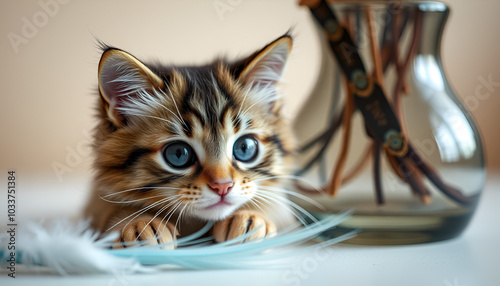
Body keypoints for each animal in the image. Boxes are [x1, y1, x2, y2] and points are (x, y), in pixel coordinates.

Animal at [84, 34, 296, 248]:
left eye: (244, 148)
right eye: (178, 154)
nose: (223, 187)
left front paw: (250, 216)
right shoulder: (95, 201)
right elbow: (109, 208)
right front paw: (137, 223)